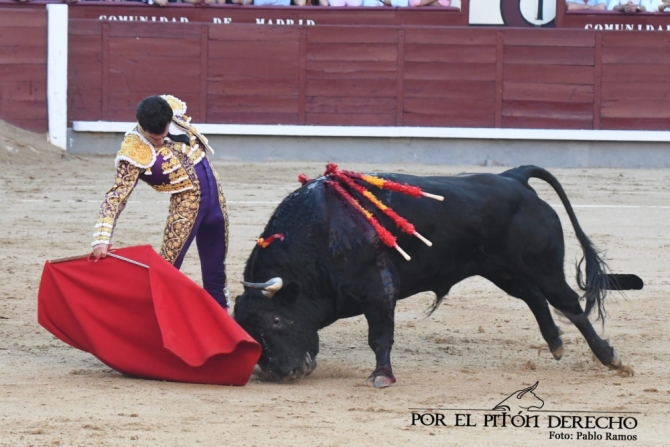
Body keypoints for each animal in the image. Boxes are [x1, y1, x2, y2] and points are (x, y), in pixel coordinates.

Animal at [234, 166, 644, 386]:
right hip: (501, 270)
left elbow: (379, 336)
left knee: (568, 303)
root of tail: (514, 178)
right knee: (533, 297)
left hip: (543, 266)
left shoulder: (378, 289)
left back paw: (609, 357)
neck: (321, 233)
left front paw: (382, 376)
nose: (282, 373)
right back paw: (556, 343)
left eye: (276, 320)